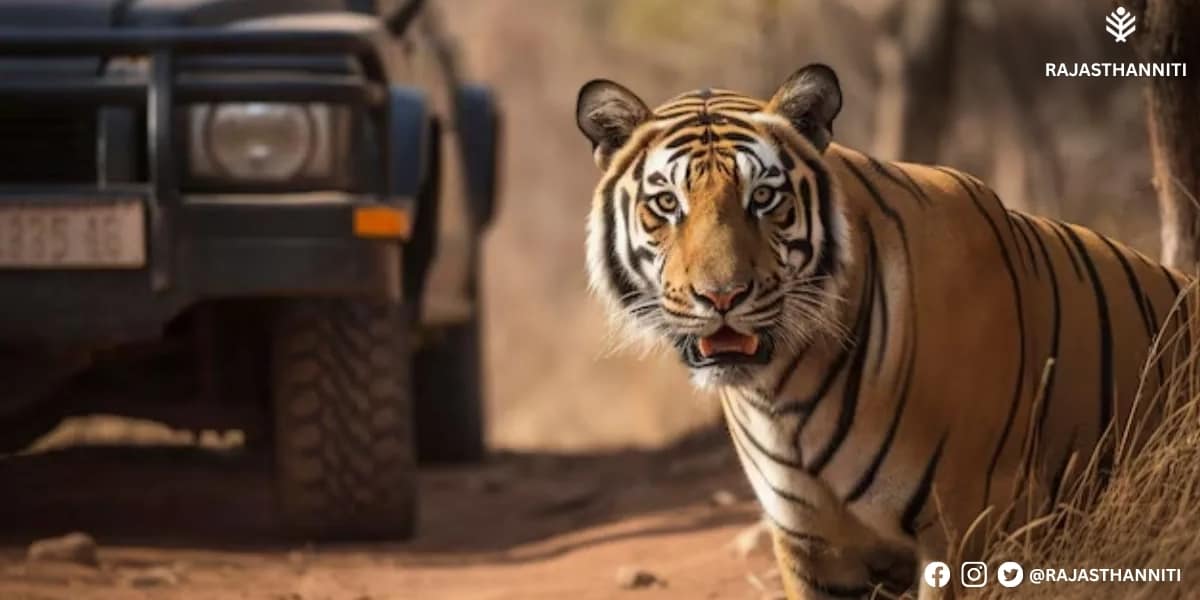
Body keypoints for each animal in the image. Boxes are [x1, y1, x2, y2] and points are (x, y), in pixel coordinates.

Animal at [574, 63, 1192, 599]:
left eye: (764, 198)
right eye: (665, 204)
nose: (722, 297)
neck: (782, 391)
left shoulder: (971, 520)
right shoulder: (815, 548)